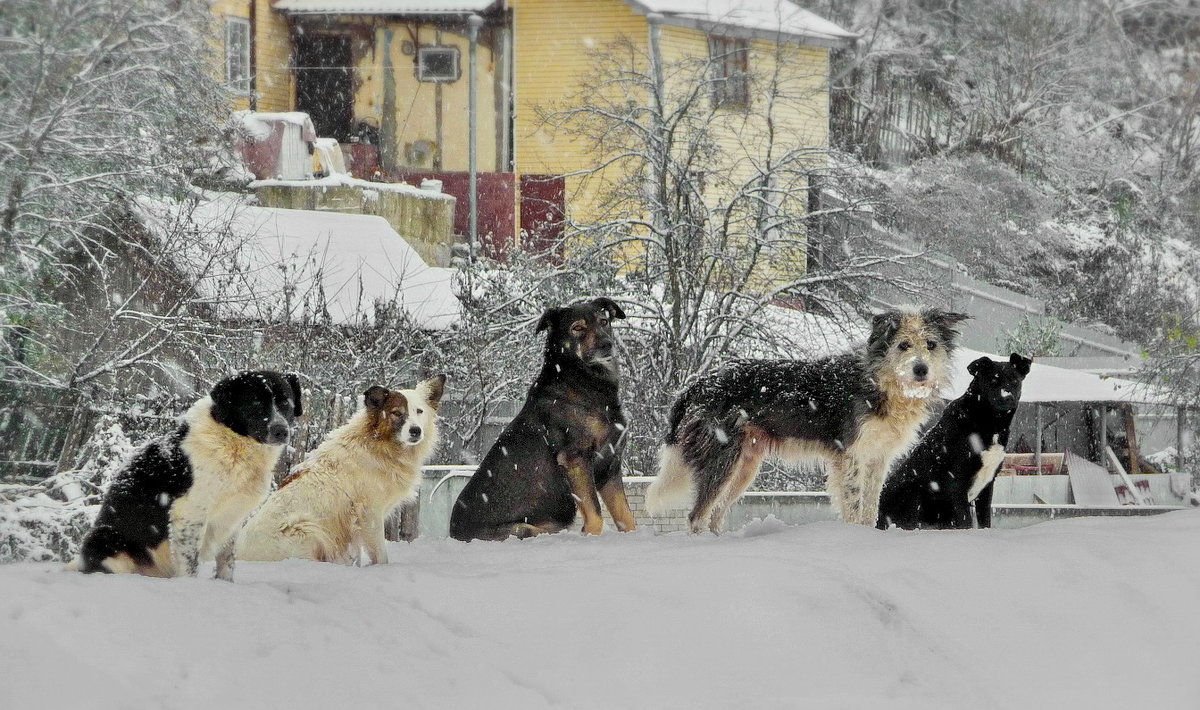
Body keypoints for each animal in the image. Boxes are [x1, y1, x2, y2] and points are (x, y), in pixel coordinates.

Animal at [75, 369, 302, 580]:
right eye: (255, 402)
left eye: (286, 402)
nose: (281, 431)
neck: (232, 444)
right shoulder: (190, 511)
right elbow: (190, 564)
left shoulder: (232, 518)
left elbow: (226, 562)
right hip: (104, 537)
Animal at [236, 376, 444, 566]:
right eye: (396, 413)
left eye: (419, 411)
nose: (416, 431)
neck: (378, 445)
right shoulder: (369, 514)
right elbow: (380, 555)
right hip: (308, 529)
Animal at [448, 296, 638, 539]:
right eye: (577, 328)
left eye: (604, 321)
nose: (607, 344)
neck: (582, 383)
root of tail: (453, 532)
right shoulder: (575, 459)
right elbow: (595, 516)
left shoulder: (610, 466)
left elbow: (627, 518)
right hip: (523, 529)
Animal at [873, 352, 1032, 530]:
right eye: (993, 380)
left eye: (1015, 380)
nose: (1007, 397)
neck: (988, 423)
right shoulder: (957, 483)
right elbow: (966, 521)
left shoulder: (988, 484)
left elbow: (985, 519)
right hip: (914, 495)